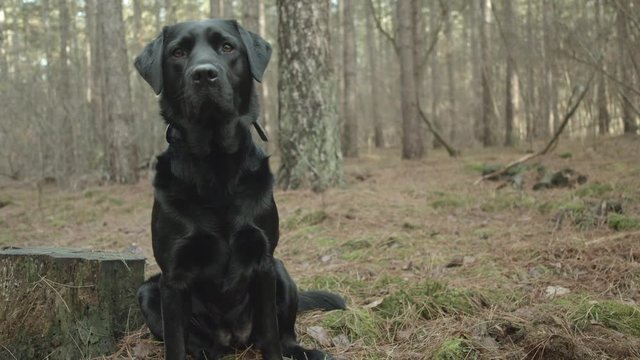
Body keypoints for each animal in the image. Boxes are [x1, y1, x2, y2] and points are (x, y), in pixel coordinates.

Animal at [134, 20, 344, 360]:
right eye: (177, 53)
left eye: (227, 47)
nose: (204, 74)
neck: (216, 168)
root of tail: (234, 339)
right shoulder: (173, 278)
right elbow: (176, 343)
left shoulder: (263, 262)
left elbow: (272, 337)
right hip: (148, 292)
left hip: (281, 271)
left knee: (284, 335)